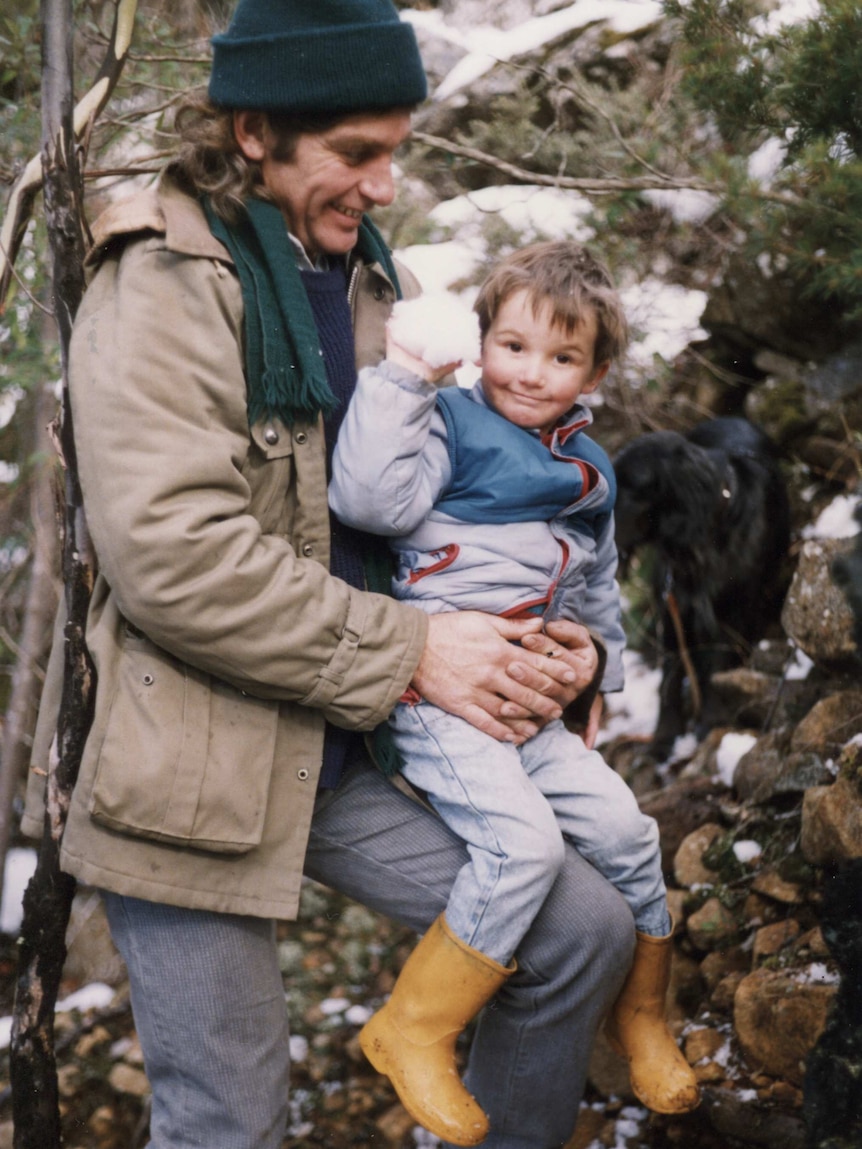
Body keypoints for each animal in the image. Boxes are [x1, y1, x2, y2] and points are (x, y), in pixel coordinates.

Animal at [616, 418, 790, 758]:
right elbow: (670, 679)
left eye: (627, 487)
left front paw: (709, 722)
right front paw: (663, 737)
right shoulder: (673, 607)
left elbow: (716, 671)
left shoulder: (733, 612)